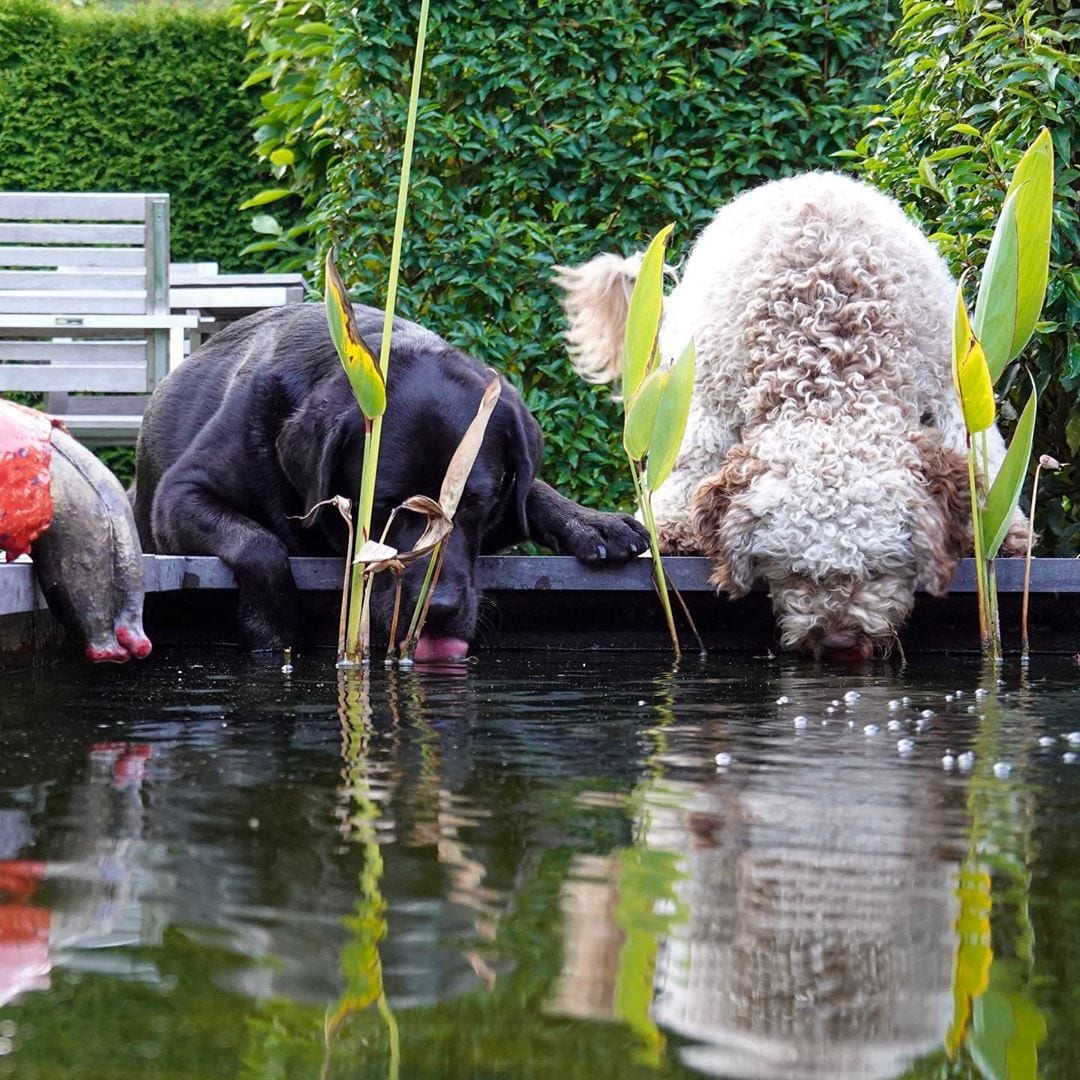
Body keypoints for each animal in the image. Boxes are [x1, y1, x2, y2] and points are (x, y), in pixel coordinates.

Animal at [130, 304, 643, 656]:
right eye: (383, 507)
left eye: (474, 502)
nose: (437, 610)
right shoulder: (178, 494)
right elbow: (258, 544)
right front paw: (271, 625)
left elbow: (530, 491)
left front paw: (591, 521)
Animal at [561, 170, 1023, 656]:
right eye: (791, 570)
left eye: (880, 568)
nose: (838, 641)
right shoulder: (706, 399)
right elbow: (690, 464)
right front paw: (672, 532)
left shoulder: (951, 385)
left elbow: (979, 451)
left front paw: (1001, 532)